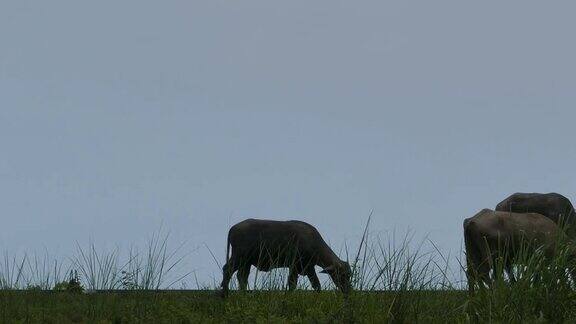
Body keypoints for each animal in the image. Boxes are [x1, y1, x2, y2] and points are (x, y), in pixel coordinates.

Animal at [220, 219, 354, 294]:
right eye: (342, 275)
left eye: (349, 275)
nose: (348, 290)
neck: (312, 242)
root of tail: (233, 228)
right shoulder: (294, 266)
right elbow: (292, 283)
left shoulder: (309, 268)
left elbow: (316, 284)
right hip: (239, 257)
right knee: (228, 270)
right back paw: (225, 292)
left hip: (246, 262)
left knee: (241, 276)